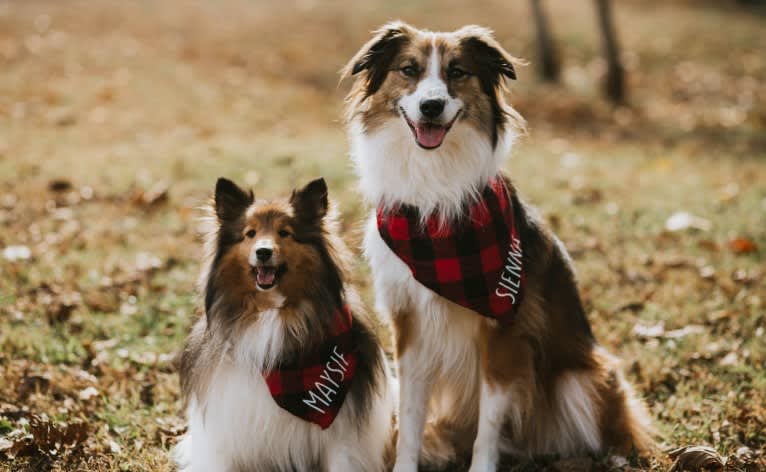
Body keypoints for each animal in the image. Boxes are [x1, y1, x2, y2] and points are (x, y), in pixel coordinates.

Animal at [344, 20, 656, 470]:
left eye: (457, 72)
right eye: (409, 69)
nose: (432, 107)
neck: (436, 193)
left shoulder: (504, 333)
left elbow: (490, 422)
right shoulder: (411, 327)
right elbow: (411, 415)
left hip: (583, 378)